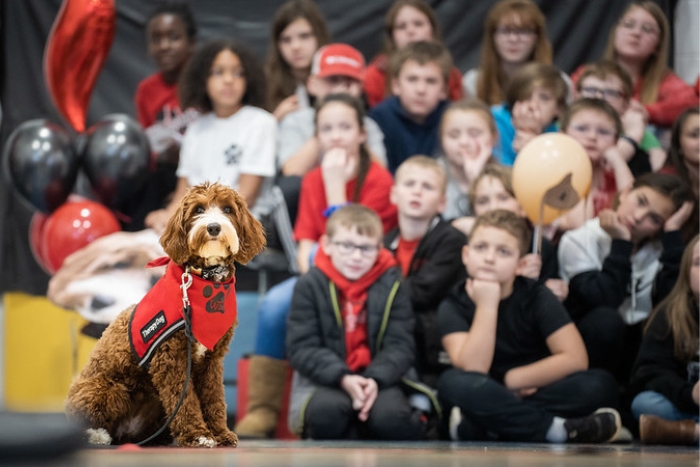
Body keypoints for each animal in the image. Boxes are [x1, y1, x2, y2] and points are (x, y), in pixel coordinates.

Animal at [65, 183, 266, 450]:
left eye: (227, 209)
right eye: (198, 210)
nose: (213, 227)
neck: (202, 281)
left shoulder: (211, 361)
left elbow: (214, 399)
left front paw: (219, 433)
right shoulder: (171, 359)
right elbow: (184, 400)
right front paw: (198, 435)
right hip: (108, 388)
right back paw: (95, 435)